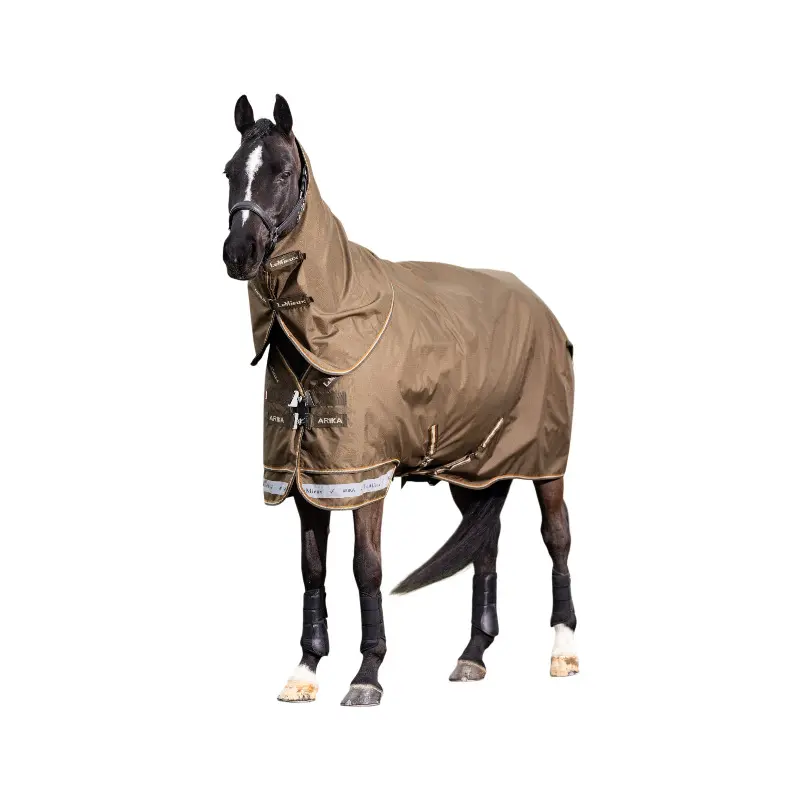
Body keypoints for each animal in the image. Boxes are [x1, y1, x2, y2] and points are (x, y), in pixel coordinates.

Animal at [221, 94, 578, 707]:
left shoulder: (364, 476)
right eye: (228, 172)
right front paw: (305, 670)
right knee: (486, 546)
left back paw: (562, 650)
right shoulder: (304, 478)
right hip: (475, 470)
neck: (329, 326)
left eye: (283, 172)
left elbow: (366, 568)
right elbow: (312, 570)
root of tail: (546, 312)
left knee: (556, 538)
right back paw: (472, 655)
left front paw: (367, 675)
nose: (238, 253)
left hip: (545, 460)